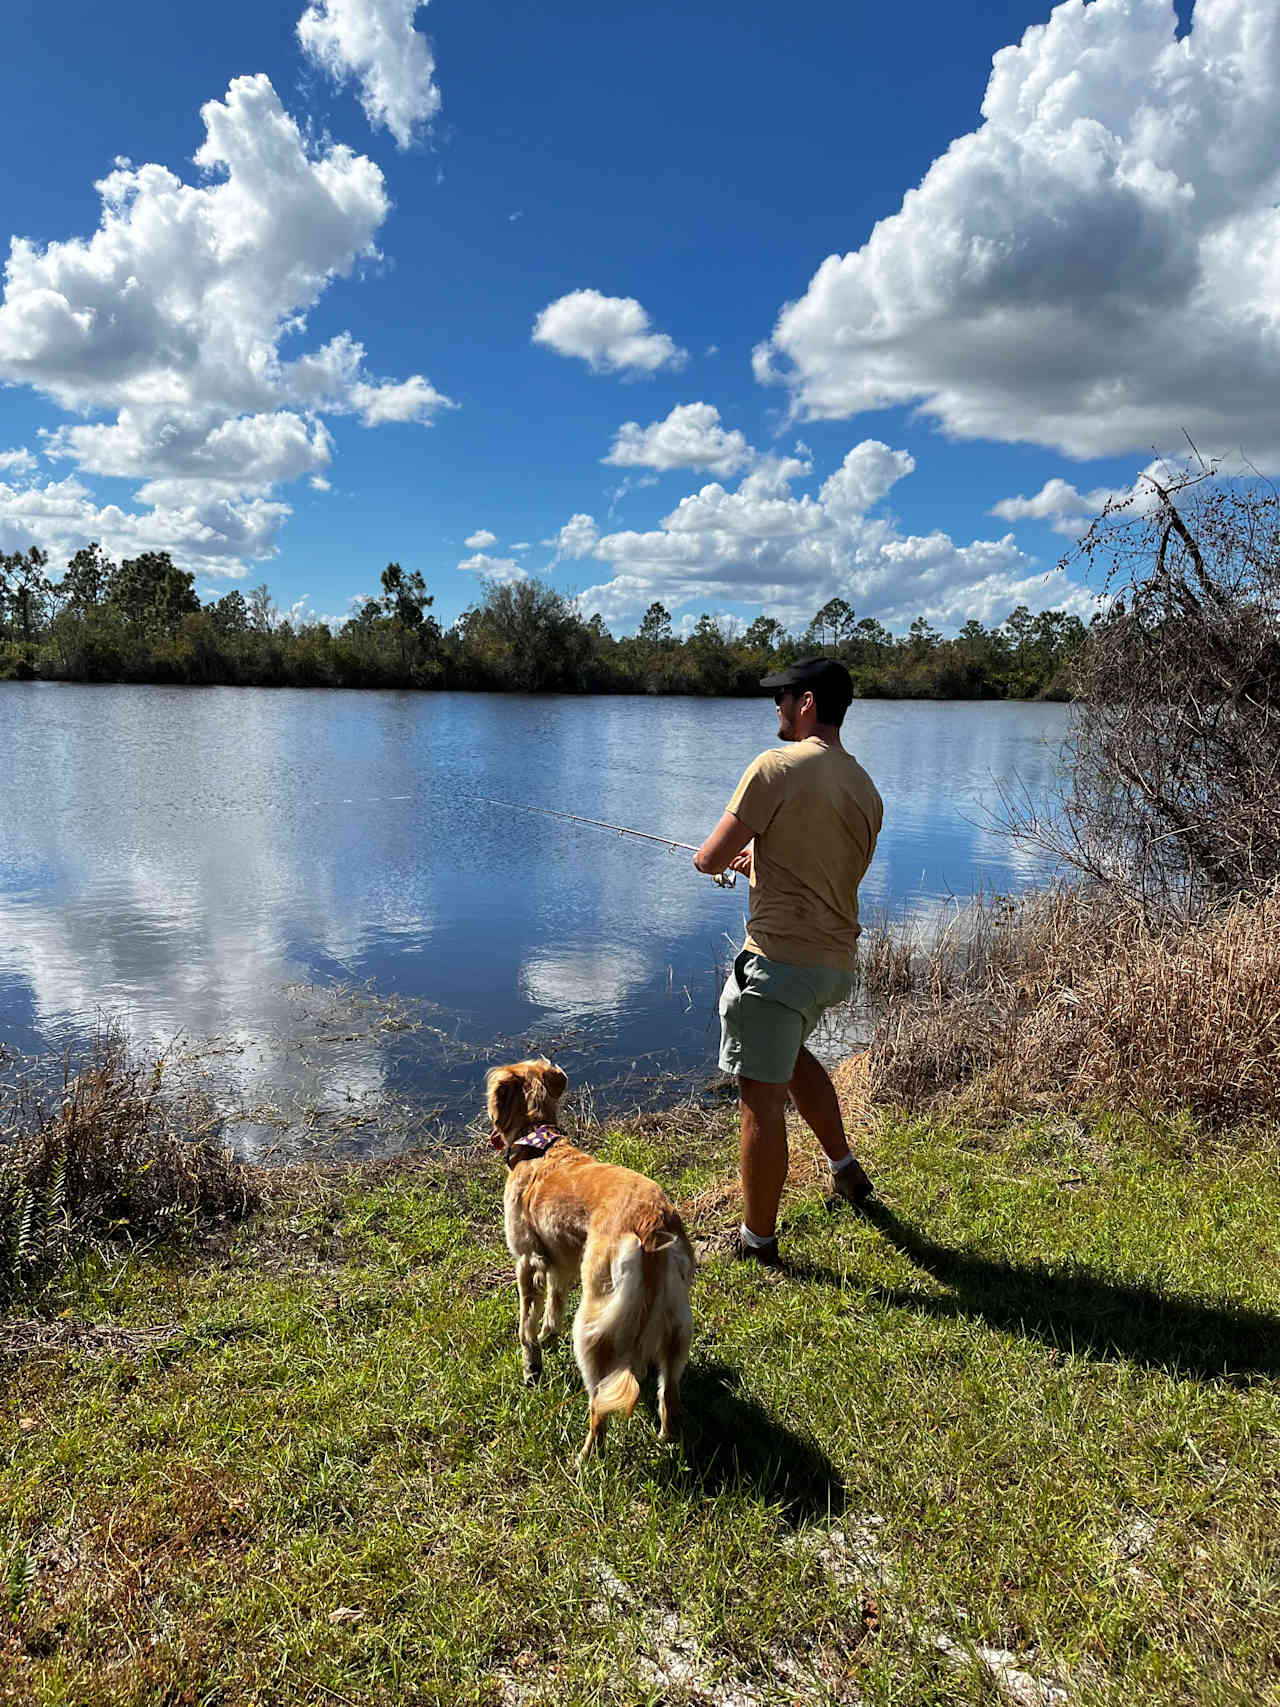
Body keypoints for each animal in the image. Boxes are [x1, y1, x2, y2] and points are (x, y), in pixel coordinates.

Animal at [484, 1058, 696, 1461]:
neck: (539, 1144)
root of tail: (652, 1224)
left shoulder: (526, 1261)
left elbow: (525, 1326)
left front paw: (531, 1367)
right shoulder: (561, 1263)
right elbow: (553, 1306)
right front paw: (548, 1334)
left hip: (593, 1327)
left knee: (600, 1404)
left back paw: (583, 1460)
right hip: (675, 1328)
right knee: (670, 1395)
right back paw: (665, 1439)